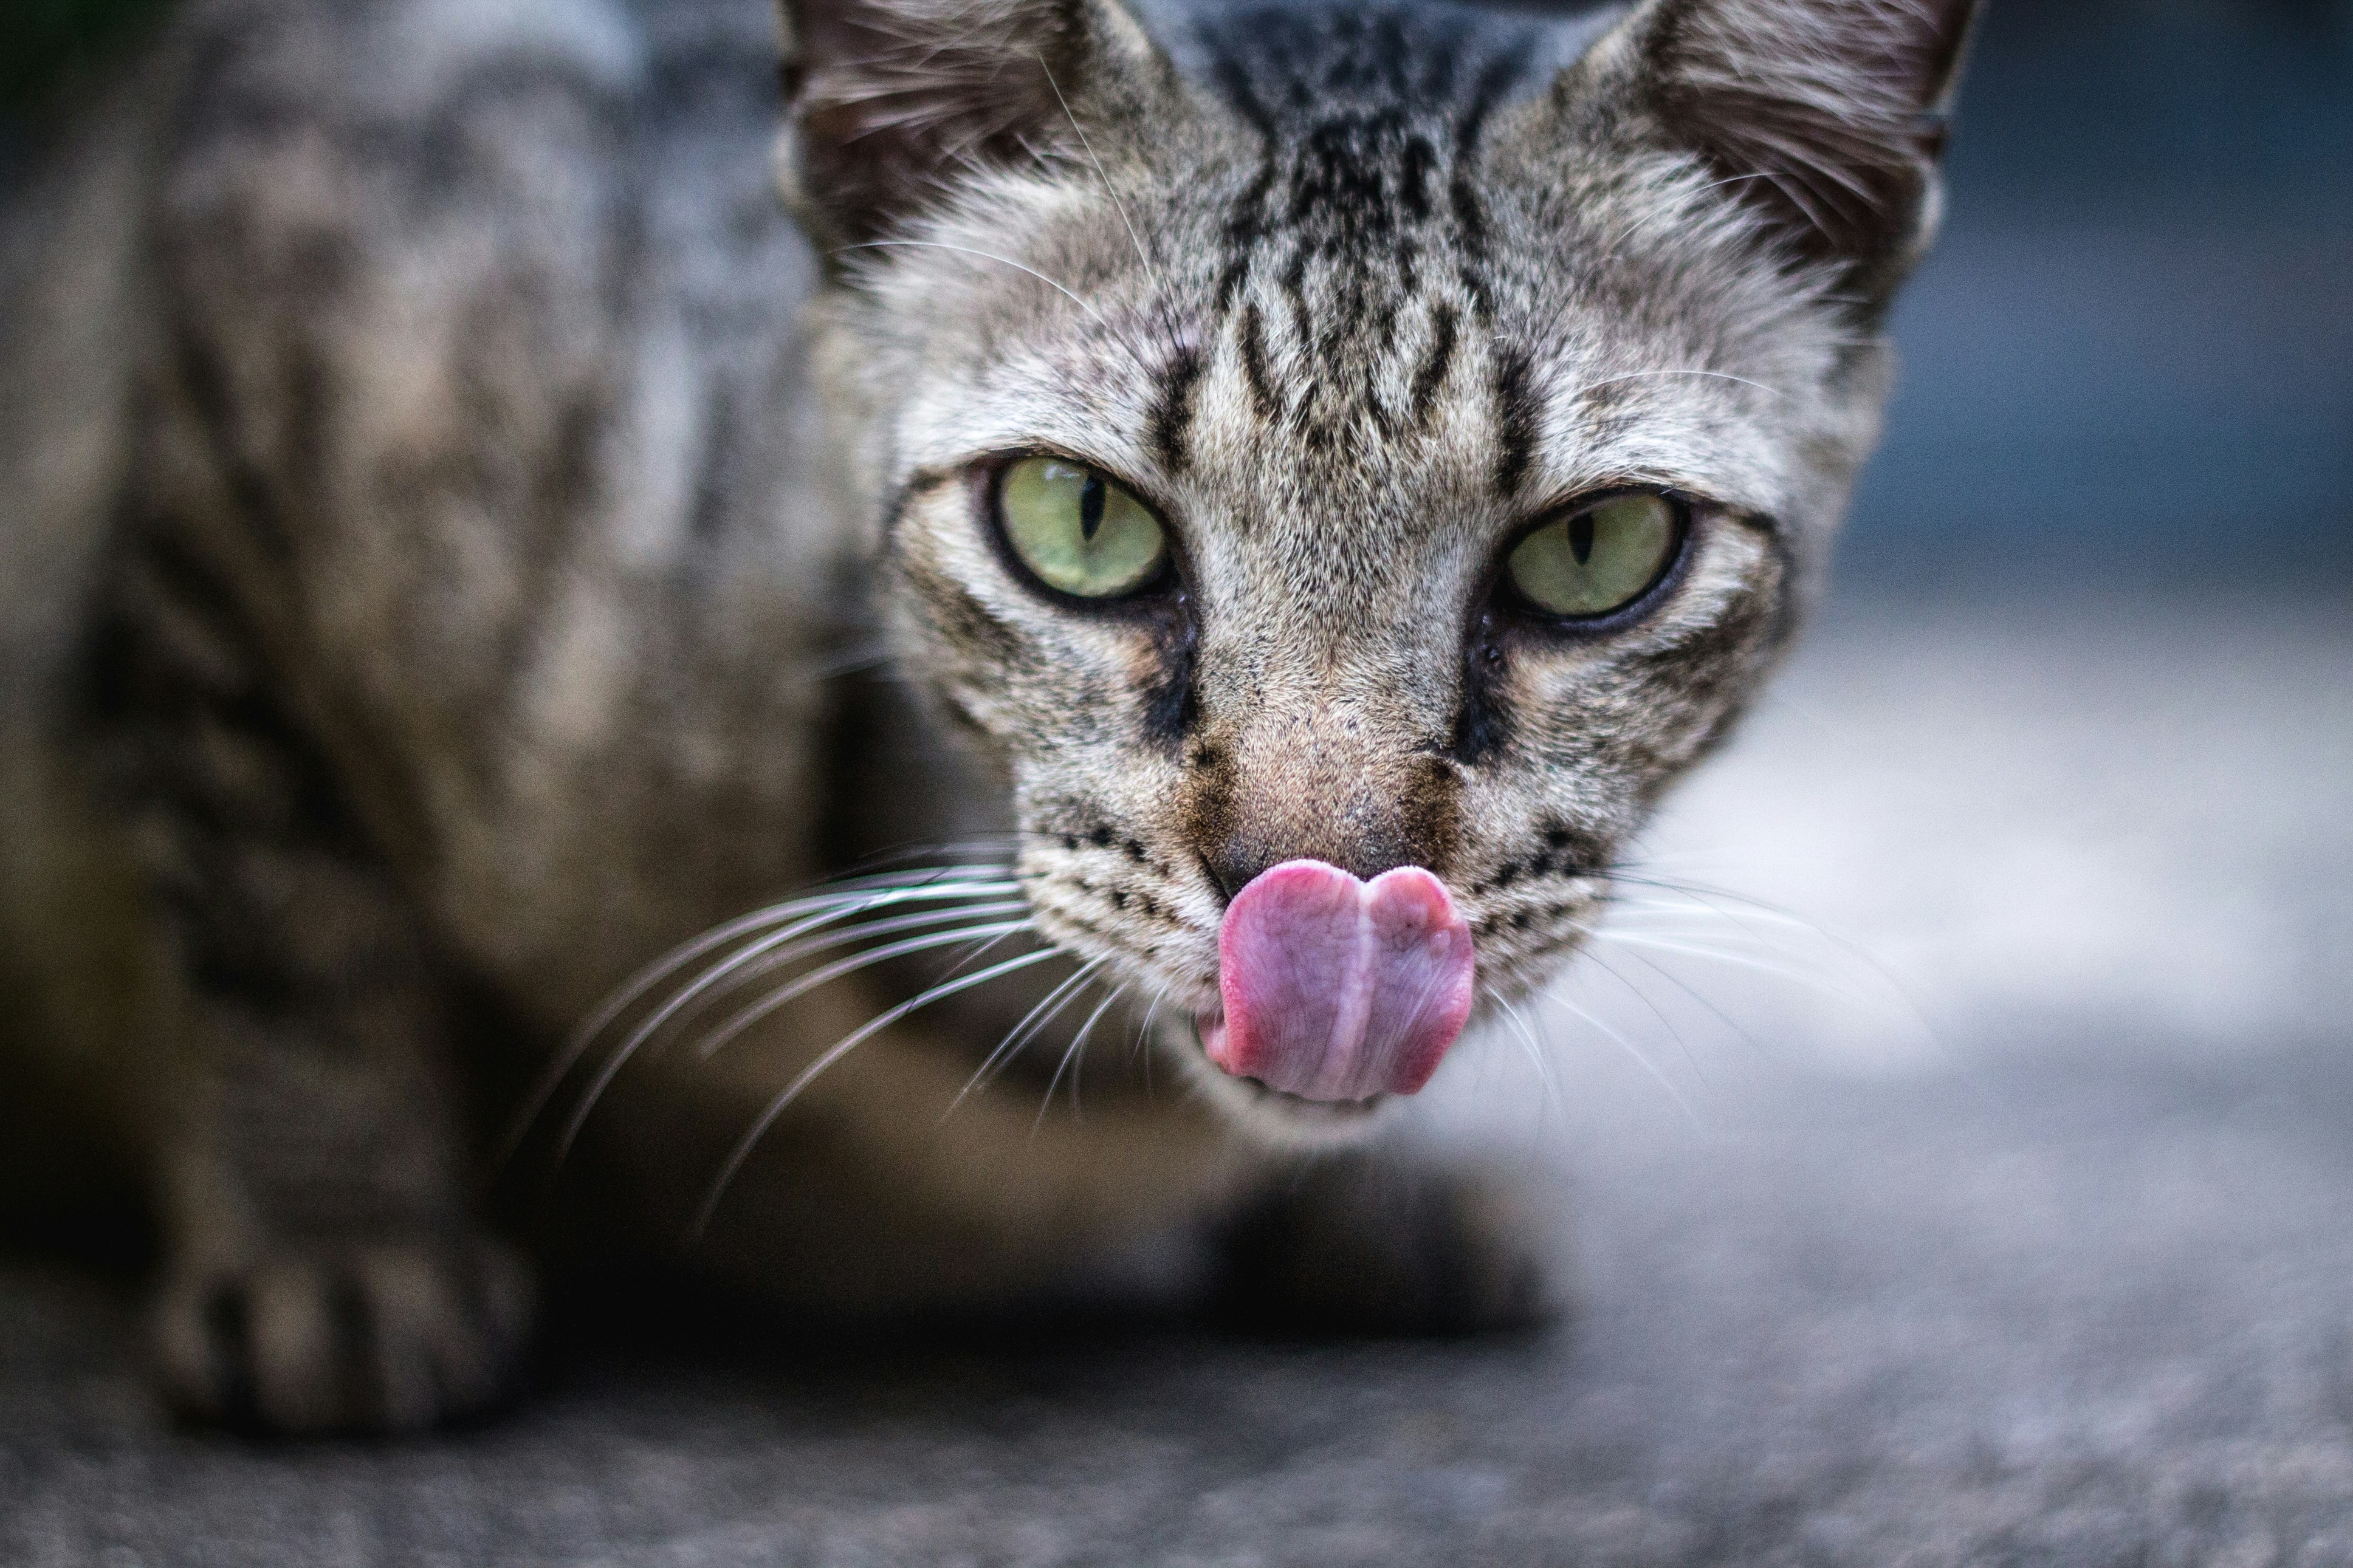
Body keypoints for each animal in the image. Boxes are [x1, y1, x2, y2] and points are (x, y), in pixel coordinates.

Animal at [0, 0, 1976, 1439]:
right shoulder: (266, 307)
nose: (1327, 893)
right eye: (1077, 520)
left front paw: (1379, 1200)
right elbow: (280, 906)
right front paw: (340, 1239)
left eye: (1594, 550)